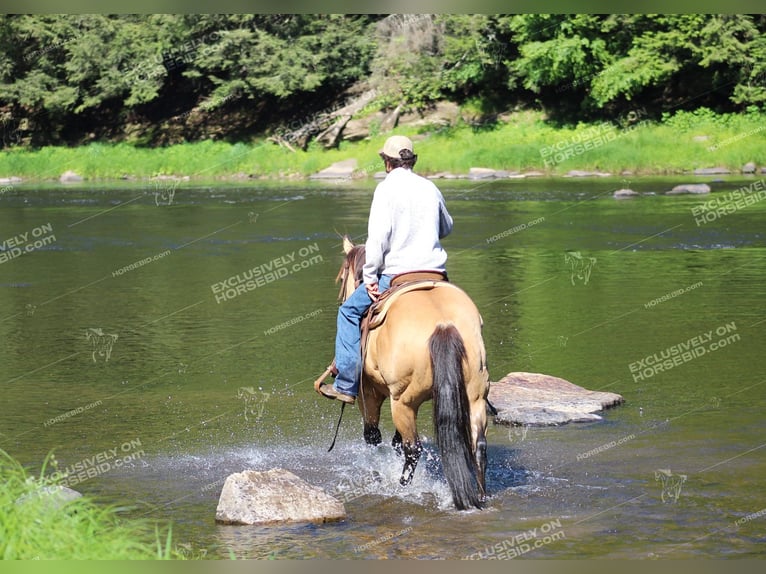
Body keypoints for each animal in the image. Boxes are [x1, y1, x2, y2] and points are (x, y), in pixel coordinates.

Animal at [320, 236, 492, 510]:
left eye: (342, 276)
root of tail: (443, 324)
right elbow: (394, 442)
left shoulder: (370, 393)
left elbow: (373, 437)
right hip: (474, 397)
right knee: (478, 446)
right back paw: (481, 496)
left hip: (402, 402)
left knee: (413, 450)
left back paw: (400, 488)